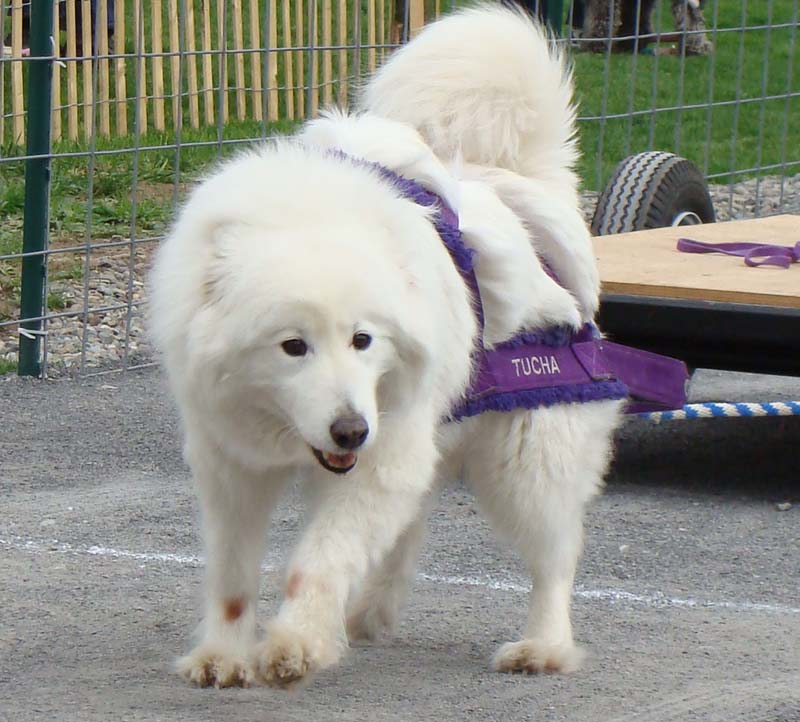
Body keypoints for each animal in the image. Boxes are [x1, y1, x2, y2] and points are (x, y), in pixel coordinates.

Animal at [152, 2, 624, 688]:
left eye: (363, 339)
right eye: (292, 346)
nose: (351, 431)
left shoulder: (383, 457)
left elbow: (316, 562)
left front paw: (295, 646)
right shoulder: (231, 469)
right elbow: (233, 580)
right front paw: (222, 658)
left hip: (524, 467)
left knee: (554, 560)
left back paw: (541, 648)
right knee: (410, 532)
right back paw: (366, 615)